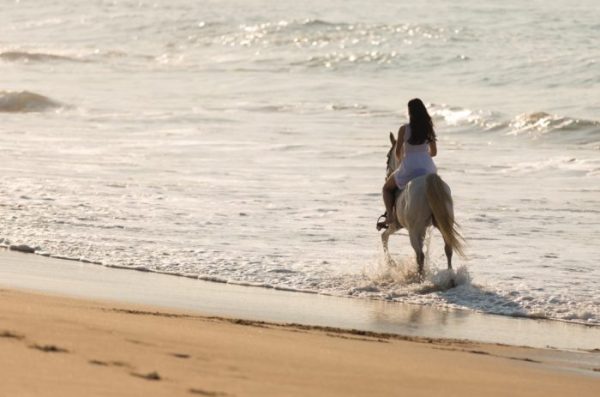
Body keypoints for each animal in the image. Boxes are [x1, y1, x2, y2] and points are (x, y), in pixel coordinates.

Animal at [382, 131, 466, 276]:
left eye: (388, 156)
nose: (387, 176)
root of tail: (428, 180)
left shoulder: (395, 225)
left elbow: (384, 237)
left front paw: (391, 263)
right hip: (442, 223)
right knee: (448, 248)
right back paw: (449, 274)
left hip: (414, 230)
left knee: (420, 255)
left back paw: (420, 277)